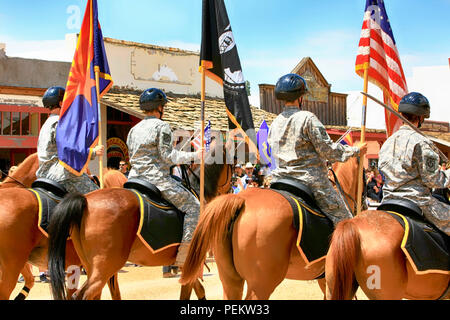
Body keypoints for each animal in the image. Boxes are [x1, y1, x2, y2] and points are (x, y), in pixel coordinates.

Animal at [48, 150, 234, 300]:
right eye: (232, 165)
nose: (232, 188)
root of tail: (84, 201)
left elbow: (198, 289)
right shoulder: (191, 261)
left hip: (92, 267)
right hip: (104, 267)